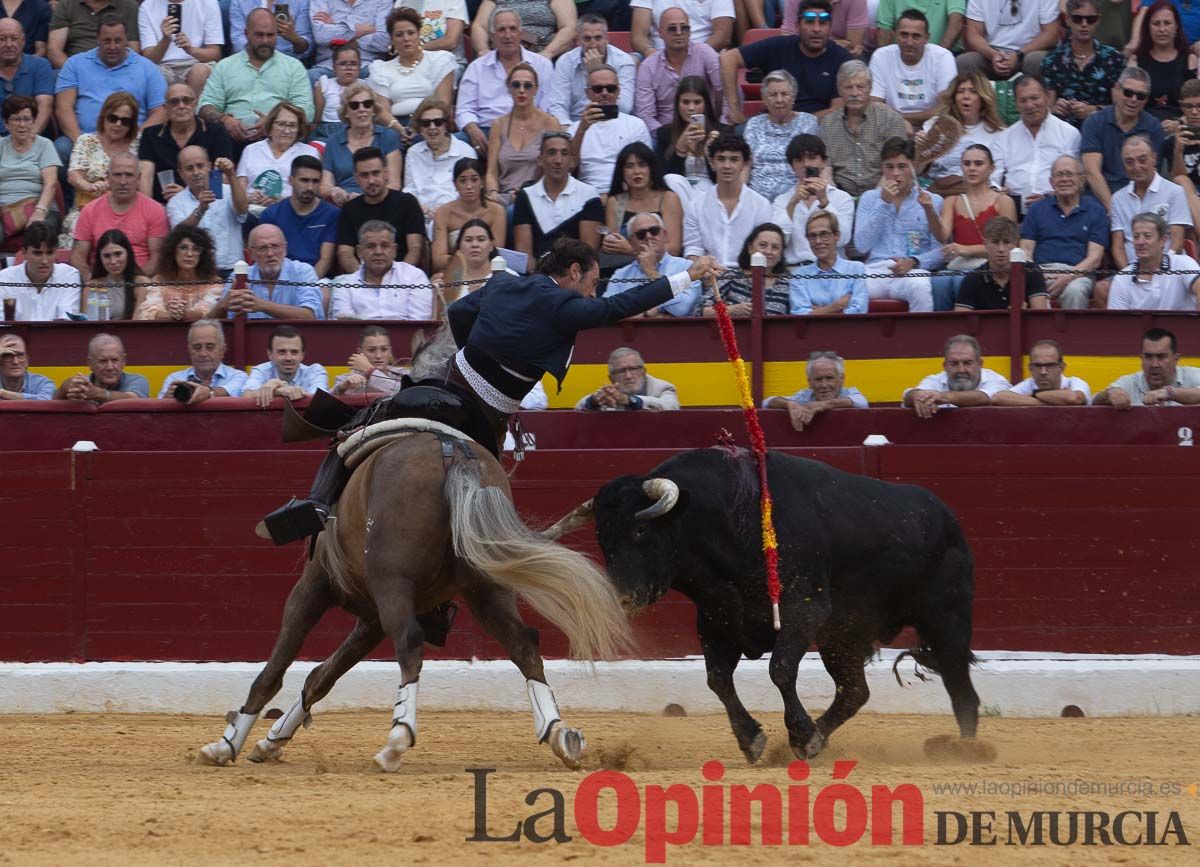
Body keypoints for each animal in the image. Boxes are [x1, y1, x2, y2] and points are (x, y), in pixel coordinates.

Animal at [549, 449, 979, 758]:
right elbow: (718, 679)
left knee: (961, 688)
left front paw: (799, 735)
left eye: (640, 528)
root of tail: (945, 515)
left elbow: (780, 669)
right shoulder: (716, 620)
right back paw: (821, 738)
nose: (623, 598)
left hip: (946, 619)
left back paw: (965, 751)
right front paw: (754, 739)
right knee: (855, 691)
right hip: (842, 636)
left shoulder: (802, 611)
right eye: (603, 537)